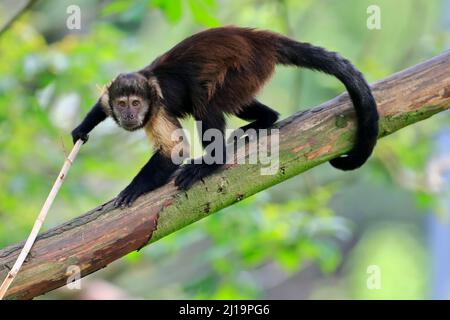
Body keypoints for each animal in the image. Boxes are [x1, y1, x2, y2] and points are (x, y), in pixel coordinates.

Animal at [72, 26, 378, 208]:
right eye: (122, 104)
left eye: (136, 103)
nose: (129, 114)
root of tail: (259, 38)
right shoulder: (113, 94)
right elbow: (100, 105)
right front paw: (81, 129)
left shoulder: (156, 108)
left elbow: (175, 151)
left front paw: (133, 189)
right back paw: (266, 119)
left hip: (247, 67)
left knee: (206, 102)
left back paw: (212, 162)